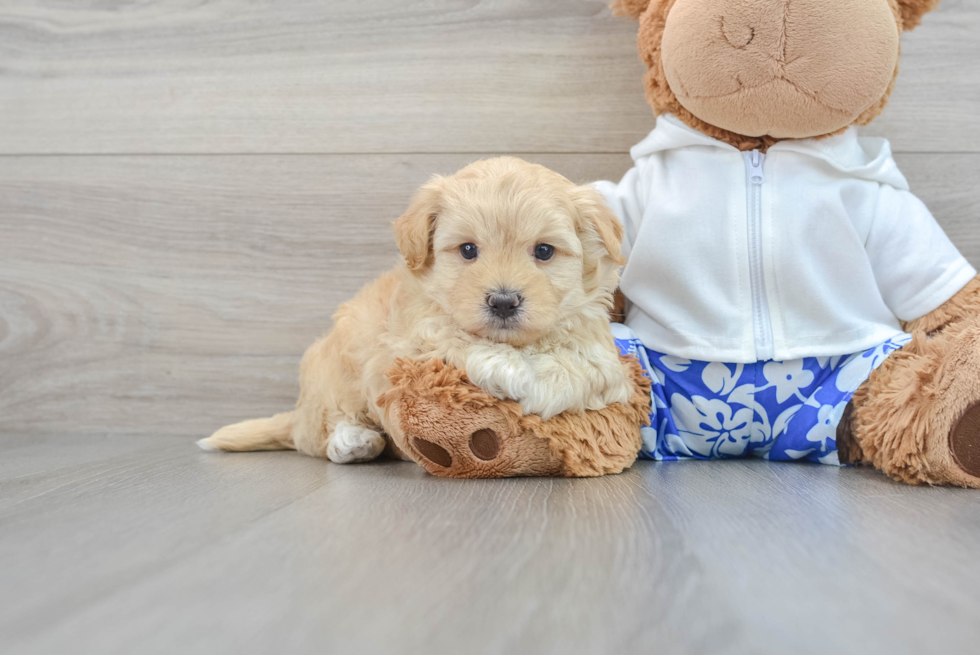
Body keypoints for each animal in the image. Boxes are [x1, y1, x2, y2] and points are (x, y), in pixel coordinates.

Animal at [197, 156, 636, 464]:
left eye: (544, 251)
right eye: (468, 250)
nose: (503, 301)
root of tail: (299, 410)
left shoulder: (600, 353)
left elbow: (581, 370)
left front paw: (537, 385)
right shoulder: (405, 340)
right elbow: (449, 334)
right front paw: (505, 367)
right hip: (332, 373)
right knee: (325, 429)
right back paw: (354, 441)